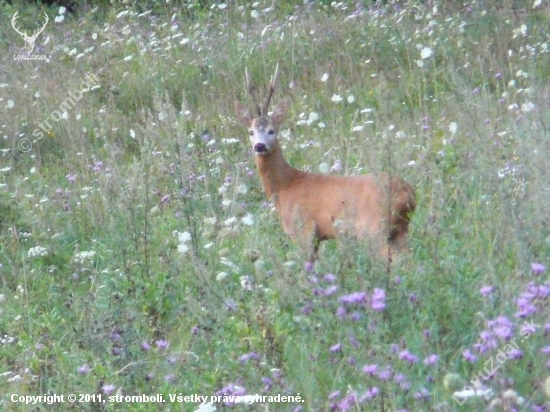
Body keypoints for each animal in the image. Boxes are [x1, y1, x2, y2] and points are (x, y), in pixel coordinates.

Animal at [235, 66, 416, 262]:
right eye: (251, 132)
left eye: (271, 131)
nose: (259, 146)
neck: (285, 187)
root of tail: (408, 191)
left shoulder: (305, 231)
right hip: (400, 229)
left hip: (375, 227)